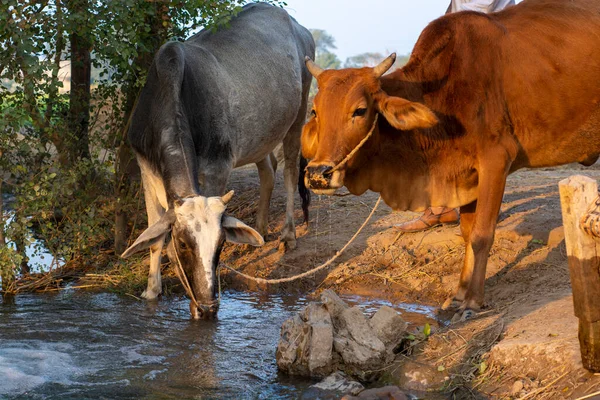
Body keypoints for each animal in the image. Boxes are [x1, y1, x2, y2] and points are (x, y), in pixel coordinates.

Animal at [119, 3, 312, 318]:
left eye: (221, 243)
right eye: (182, 243)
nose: (208, 307)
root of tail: (298, 26)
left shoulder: (217, 167)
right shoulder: (145, 166)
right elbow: (155, 237)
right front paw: (151, 291)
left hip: (298, 113)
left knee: (290, 171)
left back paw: (288, 235)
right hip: (261, 135)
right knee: (268, 171)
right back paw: (259, 230)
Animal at [302, 0, 600, 318]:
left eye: (359, 110)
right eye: (315, 111)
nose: (318, 174)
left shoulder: (496, 160)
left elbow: (482, 235)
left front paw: (473, 302)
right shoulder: (466, 175)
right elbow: (467, 234)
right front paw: (459, 294)